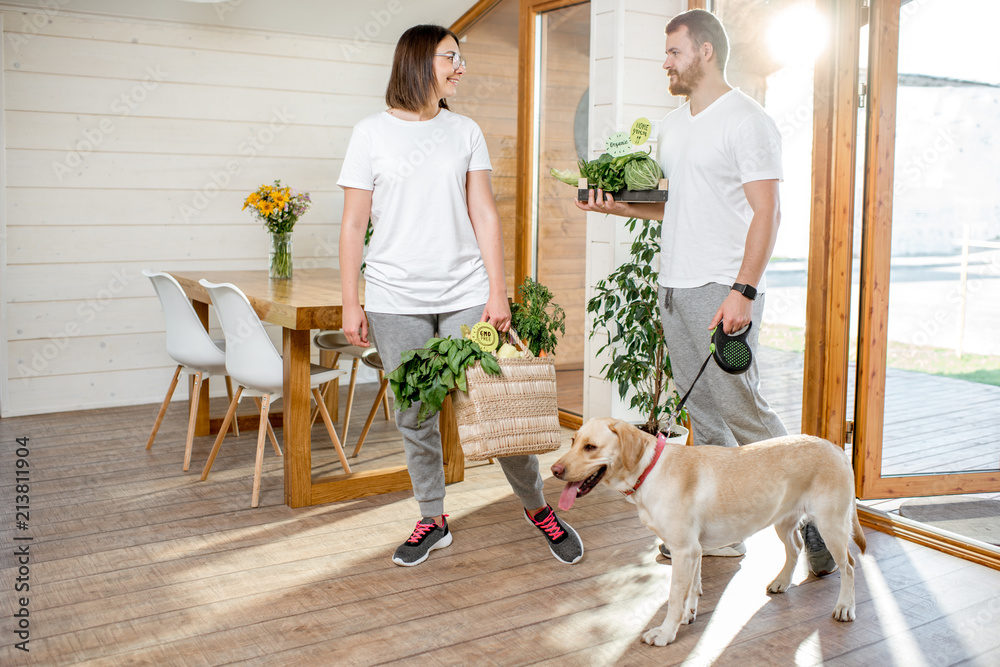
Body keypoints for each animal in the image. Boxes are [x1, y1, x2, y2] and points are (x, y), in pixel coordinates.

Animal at [552, 418, 864, 648]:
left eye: (591, 447)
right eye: (573, 441)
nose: (555, 470)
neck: (650, 470)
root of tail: (836, 448)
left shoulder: (684, 550)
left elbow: (675, 597)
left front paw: (665, 633)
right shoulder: (694, 550)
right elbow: (693, 586)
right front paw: (689, 614)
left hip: (831, 525)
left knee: (849, 565)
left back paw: (845, 607)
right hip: (783, 522)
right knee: (795, 548)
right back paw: (781, 582)